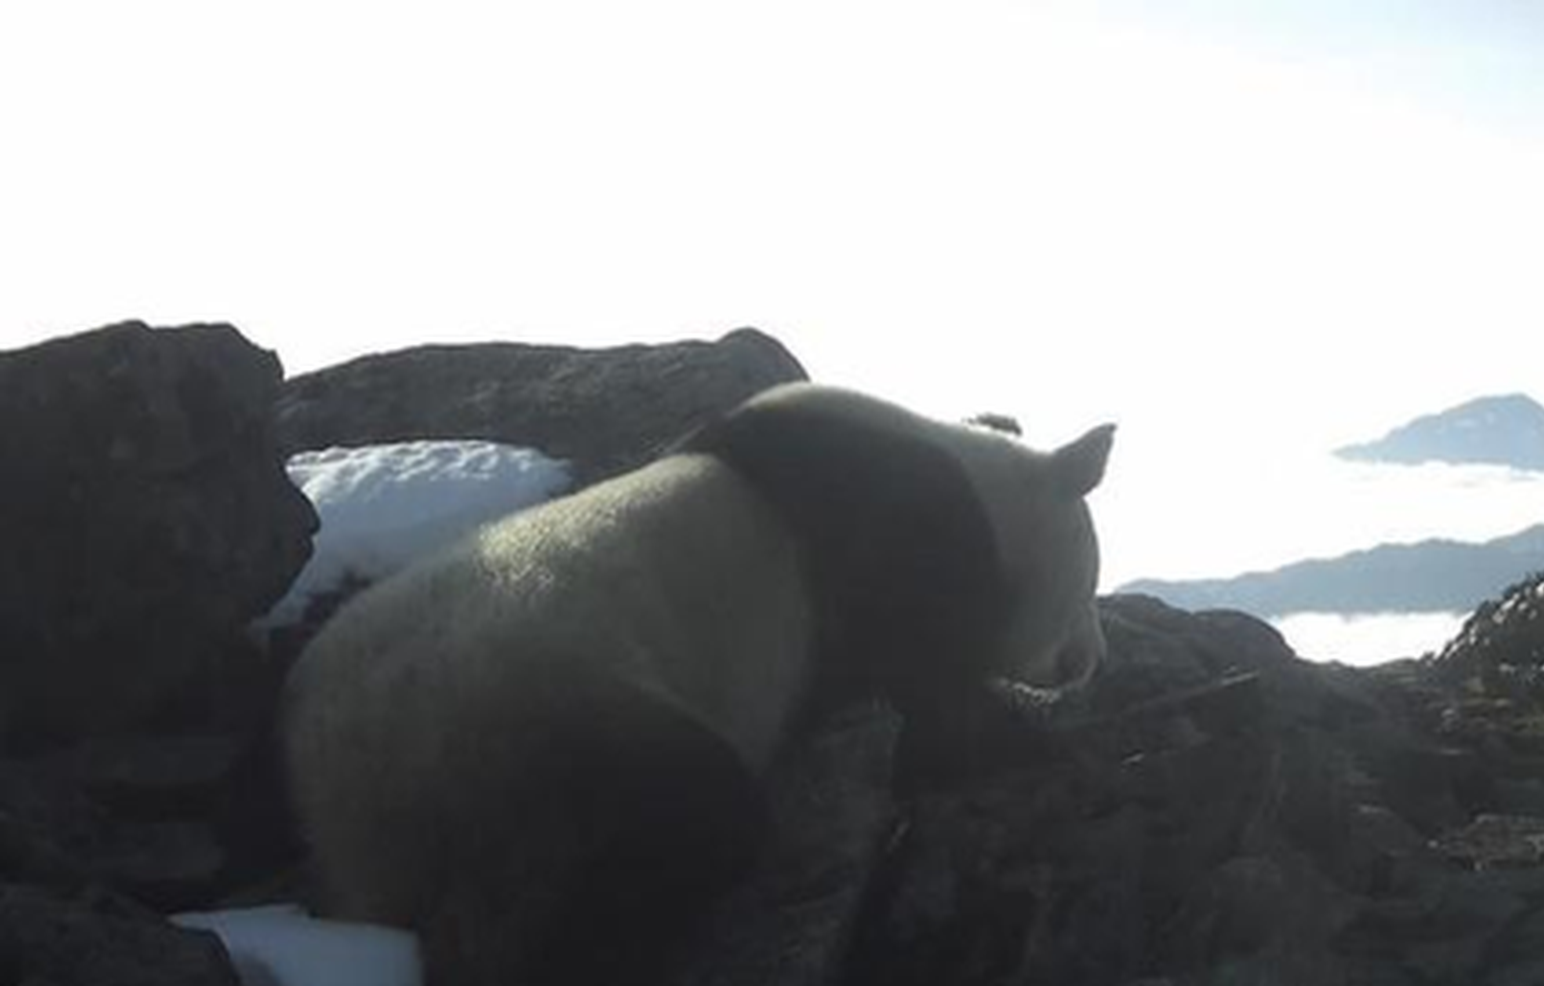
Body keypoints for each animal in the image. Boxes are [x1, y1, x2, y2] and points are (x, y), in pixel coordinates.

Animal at [280, 382, 1113, 986]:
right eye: (1090, 582)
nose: (1090, 661)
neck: (983, 482)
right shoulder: (893, 537)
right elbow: (935, 695)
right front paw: (1024, 747)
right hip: (549, 712)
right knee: (683, 819)